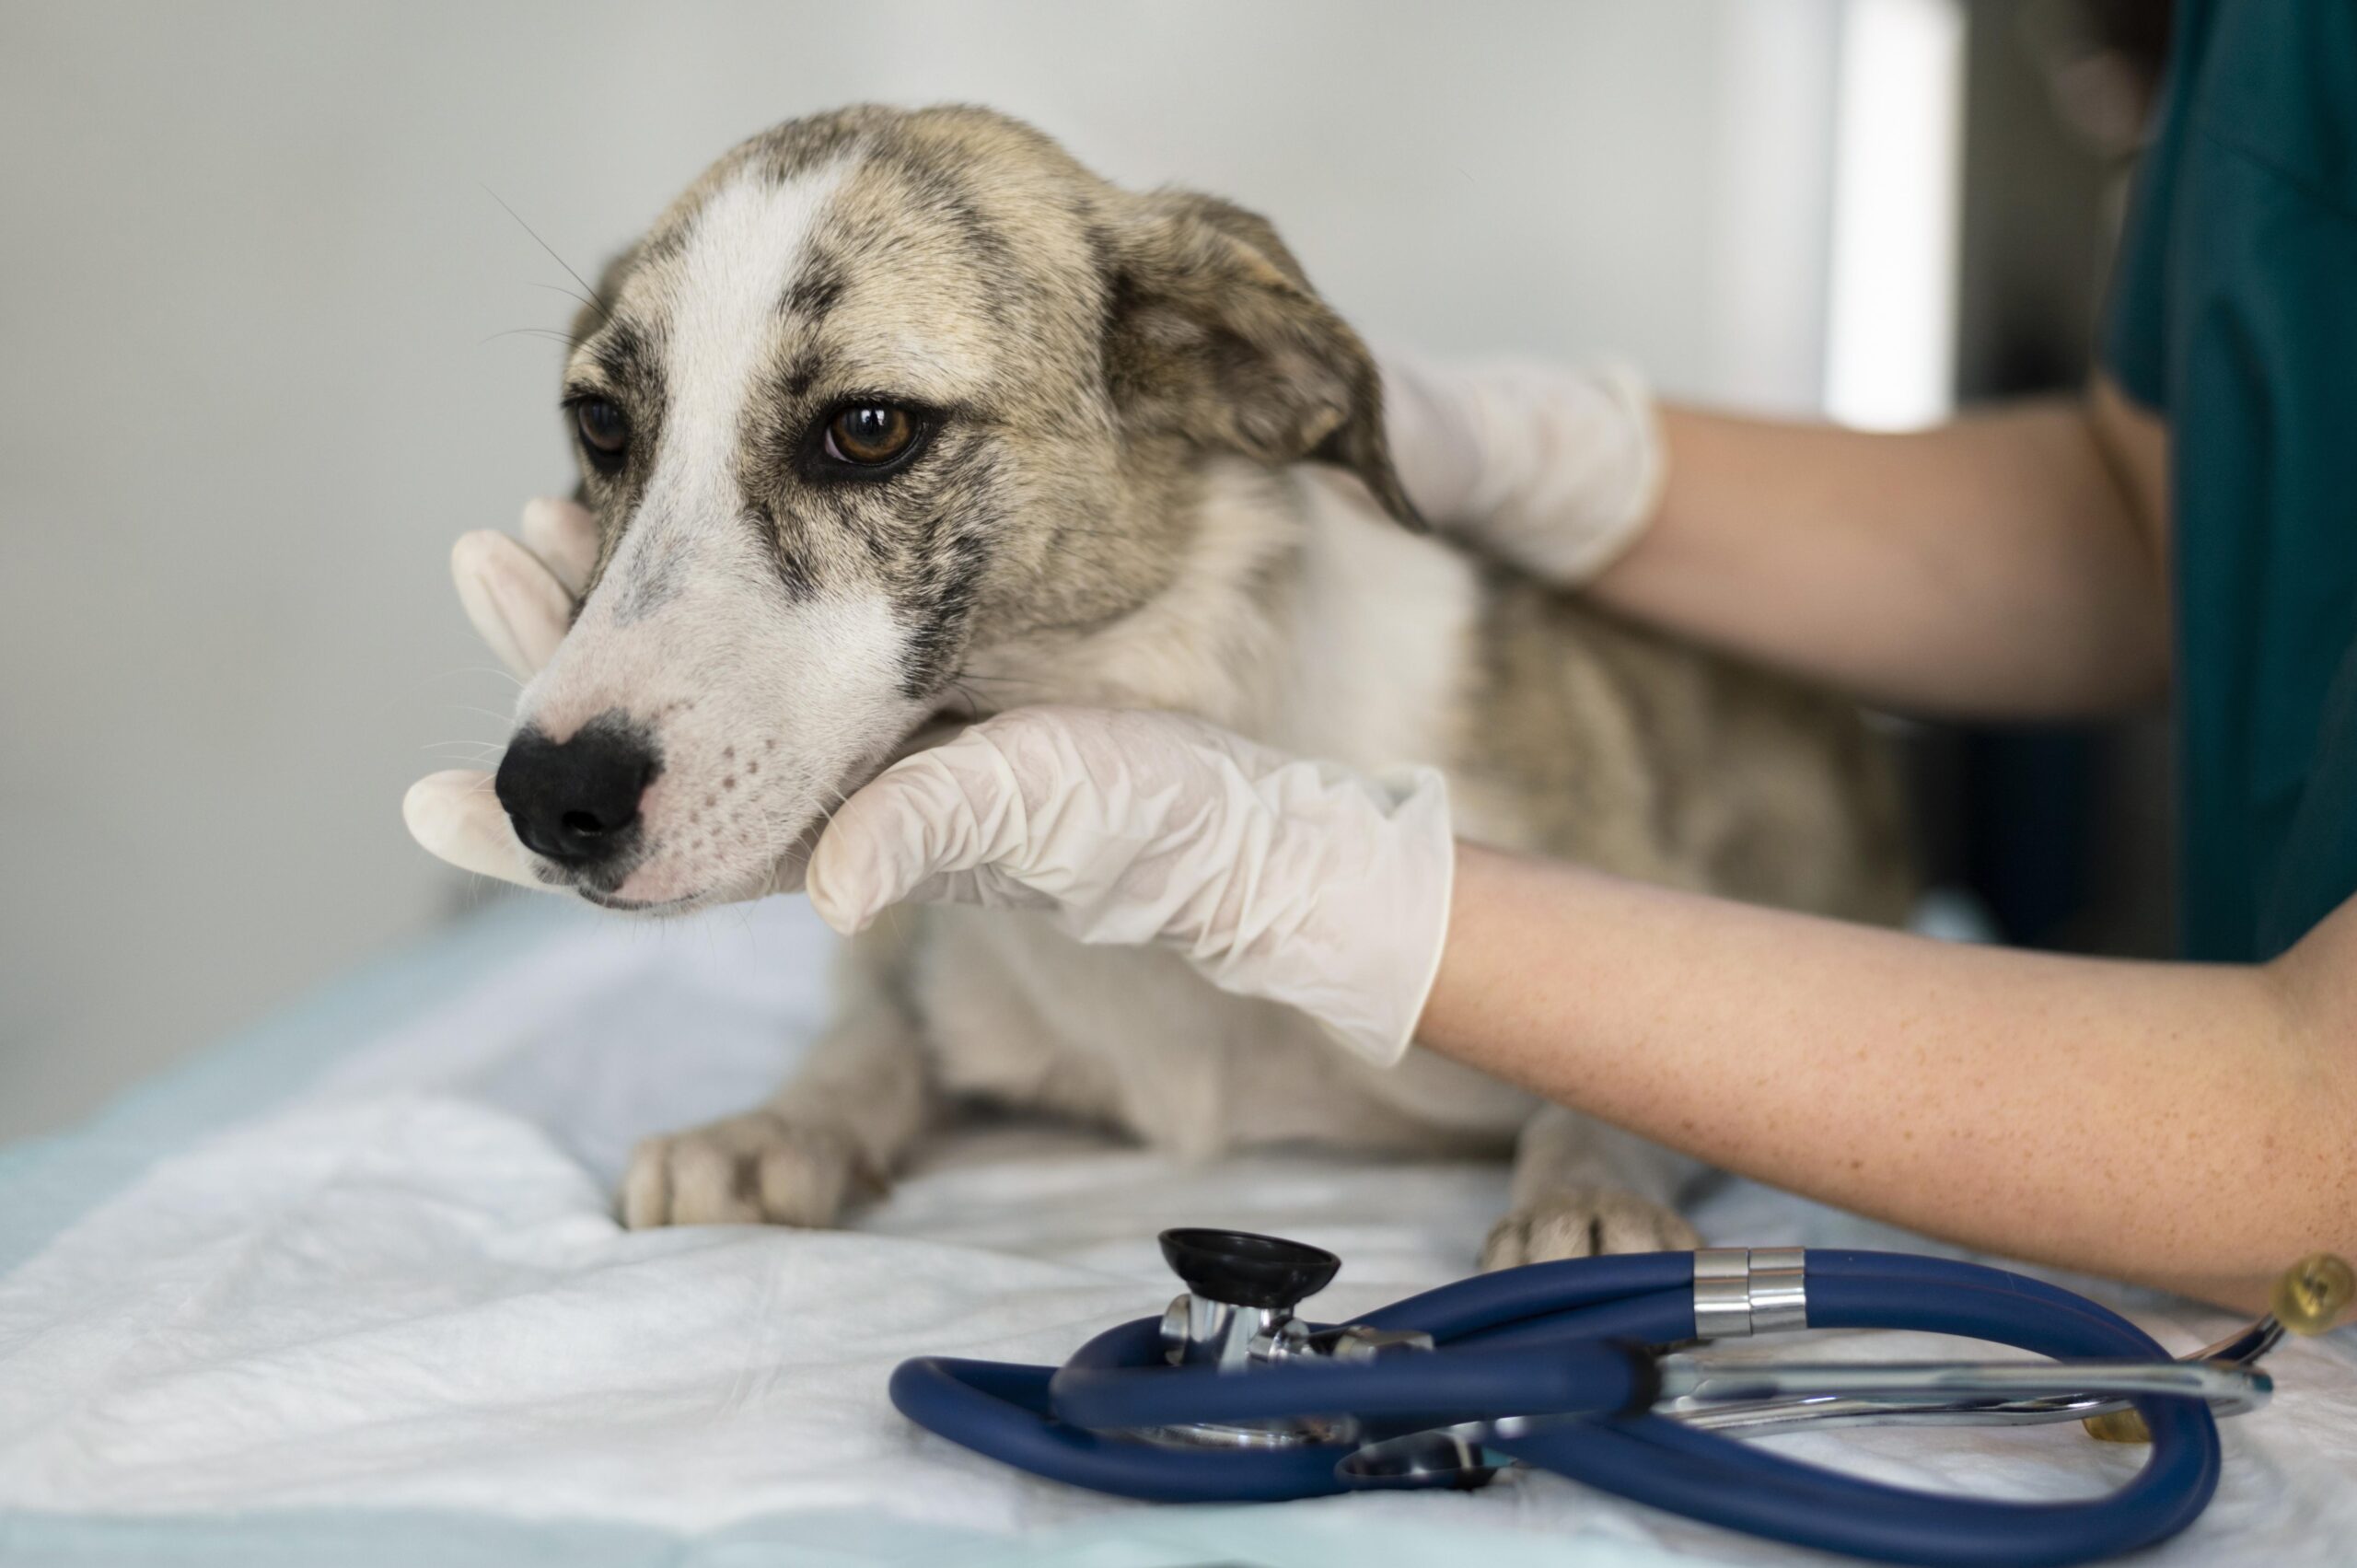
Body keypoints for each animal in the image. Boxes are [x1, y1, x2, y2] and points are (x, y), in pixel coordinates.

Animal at [502, 103, 1913, 1263]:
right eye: (603, 424)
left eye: (867, 428)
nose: (547, 798)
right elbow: (872, 1032)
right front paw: (777, 1120)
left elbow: (1629, 1084)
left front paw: (1590, 1192)